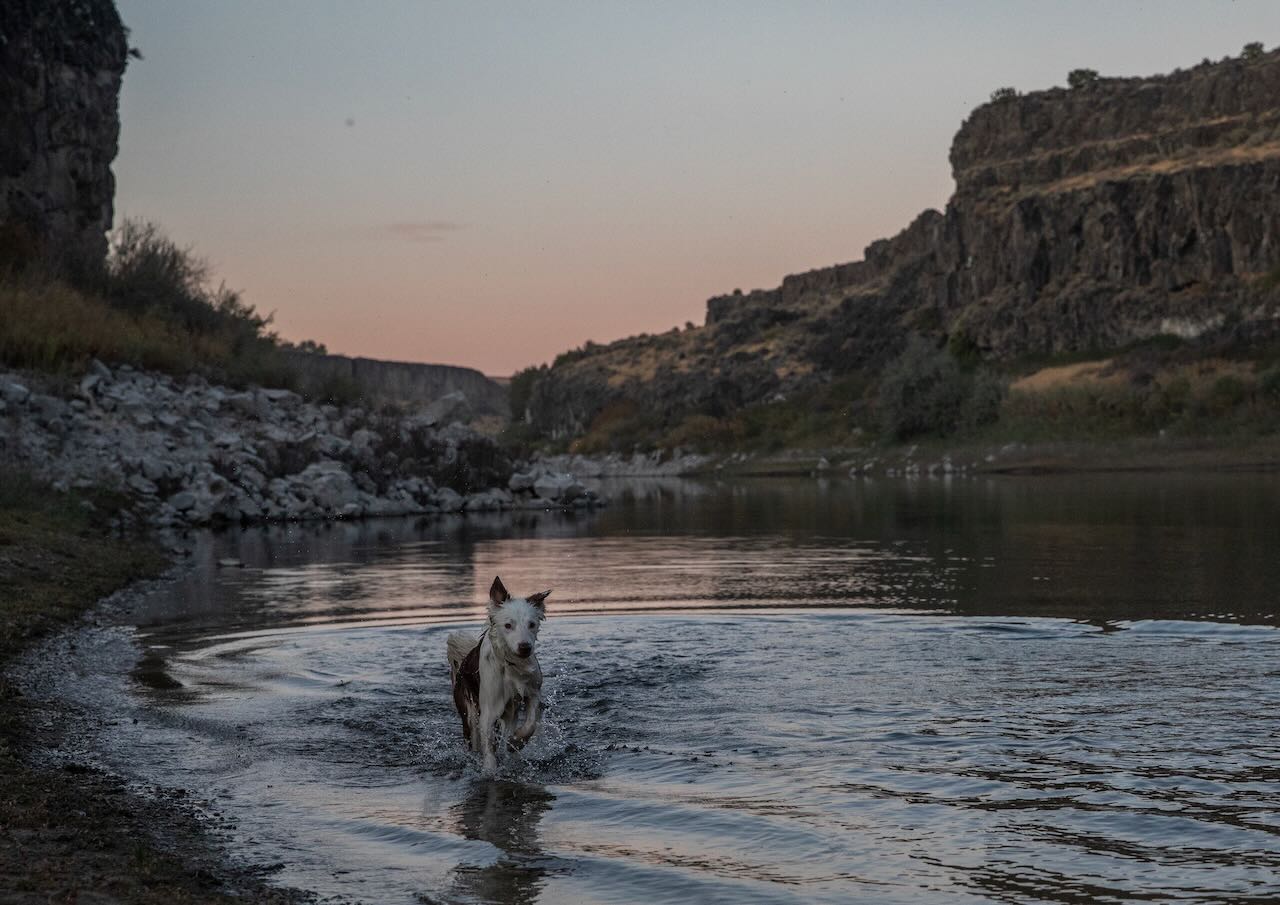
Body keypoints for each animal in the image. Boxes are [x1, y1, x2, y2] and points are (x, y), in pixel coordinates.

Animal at [448, 576, 547, 773]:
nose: (525, 647)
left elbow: (531, 722)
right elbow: (488, 746)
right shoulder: (489, 710)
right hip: (469, 714)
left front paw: (516, 742)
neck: (510, 665)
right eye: (508, 625)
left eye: (532, 624)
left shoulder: (532, 692)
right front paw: (490, 770)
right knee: (474, 739)